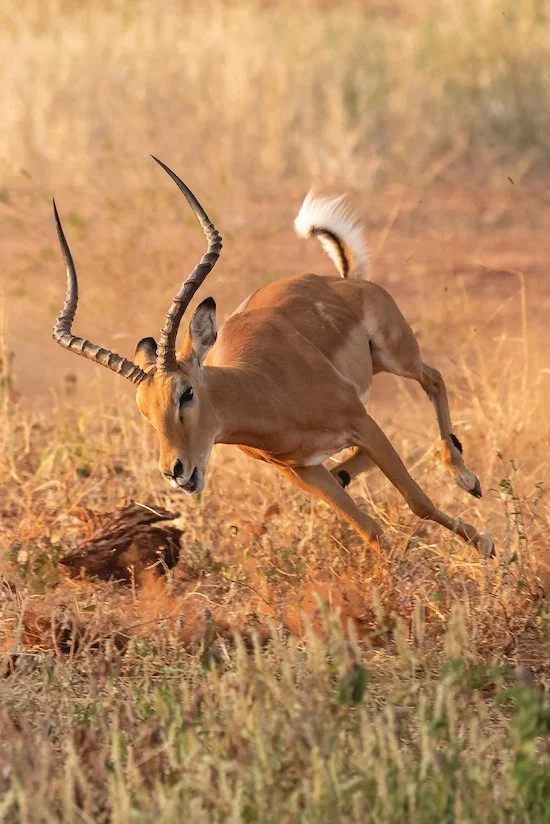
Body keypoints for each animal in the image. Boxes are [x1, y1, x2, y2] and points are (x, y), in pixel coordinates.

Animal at [53, 157, 493, 557]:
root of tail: (341, 280)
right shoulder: (301, 470)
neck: (269, 393)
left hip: (395, 355)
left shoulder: (360, 424)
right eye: (144, 410)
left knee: (433, 377)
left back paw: (467, 480)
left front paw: (485, 544)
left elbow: (419, 502)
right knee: (353, 465)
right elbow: (370, 529)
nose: (175, 471)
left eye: (186, 393)